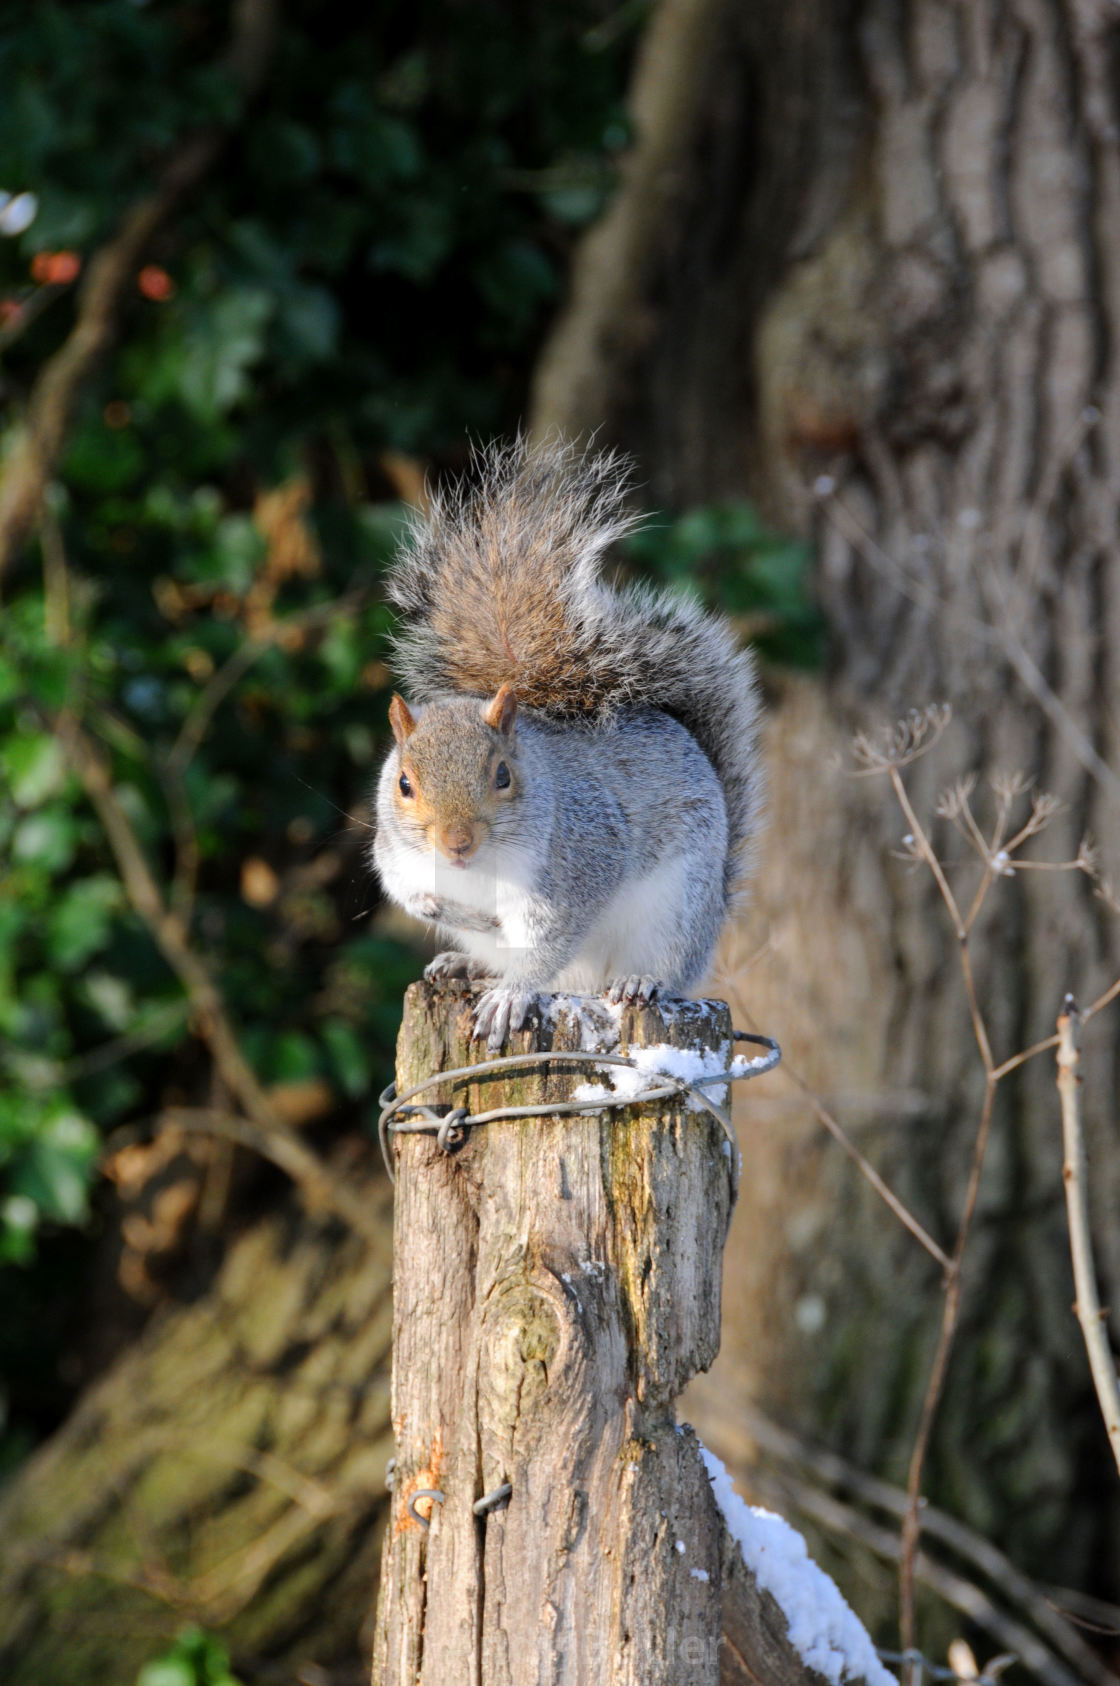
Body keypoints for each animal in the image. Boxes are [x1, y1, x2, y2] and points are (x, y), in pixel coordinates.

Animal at [374, 441, 762, 1045]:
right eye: (403, 784)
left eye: (503, 776)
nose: (456, 844)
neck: (476, 870)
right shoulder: (396, 857)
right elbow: (408, 894)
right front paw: (456, 915)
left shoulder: (581, 860)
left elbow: (551, 942)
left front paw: (512, 995)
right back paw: (465, 961)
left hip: (677, 910)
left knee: (662, 967)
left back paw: (639, 982)